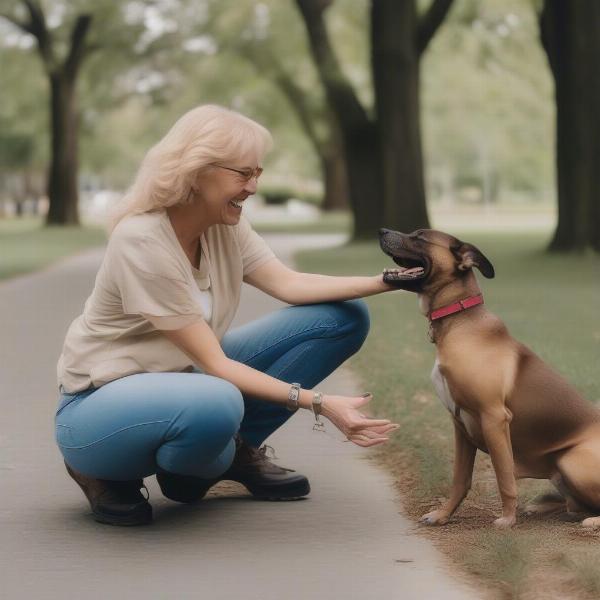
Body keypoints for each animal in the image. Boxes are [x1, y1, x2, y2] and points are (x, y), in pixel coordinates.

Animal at [380, 227, 600, 528]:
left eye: (420, 237)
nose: (381, 231)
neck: (459, 321)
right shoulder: (459, 424)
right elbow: (460, 479)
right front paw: (443, 515)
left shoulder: (494, 418)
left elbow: (504, 477)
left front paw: (507, 519)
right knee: (573, 504)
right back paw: (543, 508)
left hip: (571, 459)